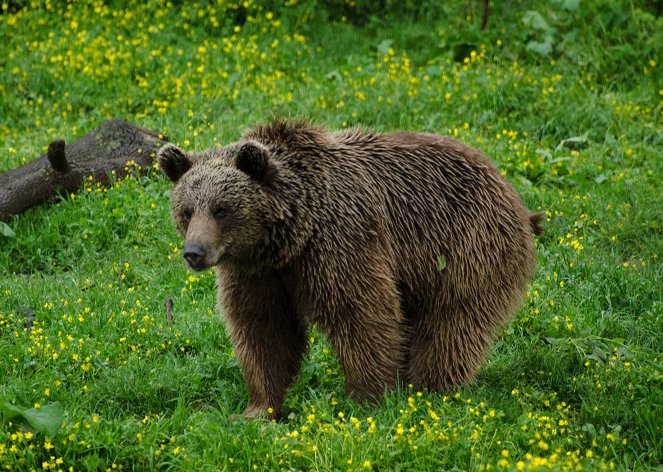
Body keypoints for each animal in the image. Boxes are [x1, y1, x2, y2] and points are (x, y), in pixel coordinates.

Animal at [158, 119, 544, 420]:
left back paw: (429, 390)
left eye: (221, 209)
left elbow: (361, 314)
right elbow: (264, 330)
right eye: (187, 210)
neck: (292, 234)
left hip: (465, 245)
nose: (194, 253)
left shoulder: (340, 241)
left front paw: (365, 398)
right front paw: (257, 409)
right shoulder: (259, 273)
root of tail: (511, 190)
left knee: (451, 321)